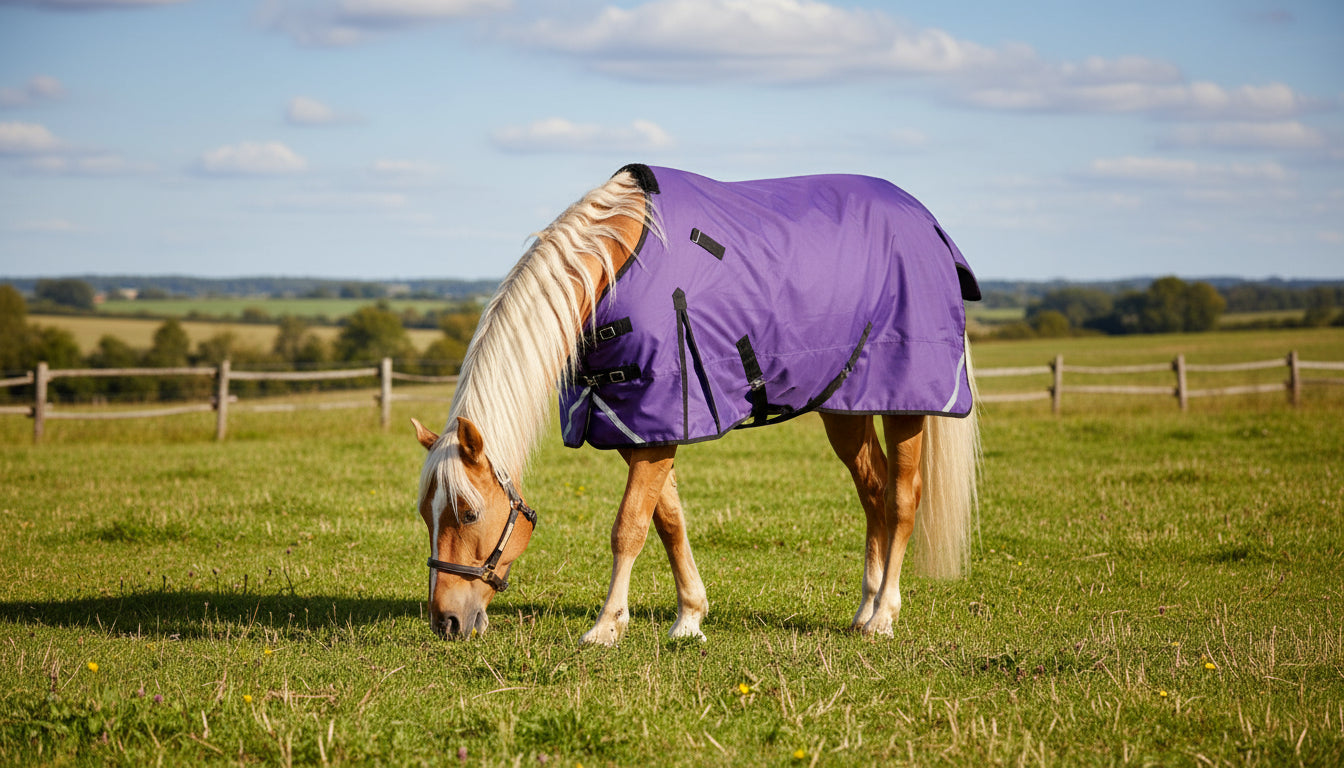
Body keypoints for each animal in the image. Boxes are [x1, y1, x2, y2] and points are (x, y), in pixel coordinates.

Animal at [412, 164, 981, 645]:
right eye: (424, 514)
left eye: (468, 512)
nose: (446, 621)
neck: (615, 268)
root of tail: (926, 221)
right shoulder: (641, 426)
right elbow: (668, 521)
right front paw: (689, 617)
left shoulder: (657, 423)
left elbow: (628, 528)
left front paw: (606, 626)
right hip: (845, 407)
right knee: (873, 491)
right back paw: (864, 609)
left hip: (906, 402)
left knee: (902, 499)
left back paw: (884, 615)